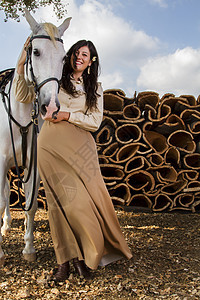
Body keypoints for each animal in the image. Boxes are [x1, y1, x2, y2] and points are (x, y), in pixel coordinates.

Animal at [0, 9, 71, 264]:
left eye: (63, 58)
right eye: (36, 51)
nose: (50, 107)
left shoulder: (34, 164)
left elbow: (30, 206)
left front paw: (29, 248)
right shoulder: (0, 162)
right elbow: (0, 201)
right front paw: (0, 252)